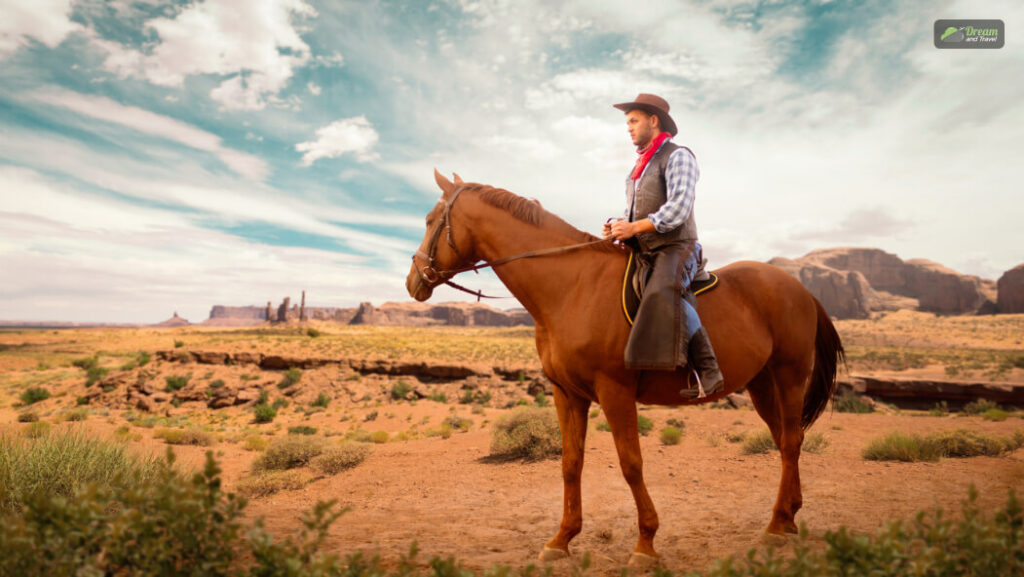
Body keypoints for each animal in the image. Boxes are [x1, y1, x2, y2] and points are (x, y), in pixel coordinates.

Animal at [403, 173, 843, 569]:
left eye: (429, 220)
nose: (412, 281)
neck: (571, 287)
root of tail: (802, 291)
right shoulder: (567, 393)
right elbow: (570, 464)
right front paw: (561, 539)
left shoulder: (614, 391)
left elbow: (631, 464)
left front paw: (645, 544)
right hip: (762, 384)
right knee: (786, 440)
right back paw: (788, 518)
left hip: (789, 375)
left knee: (790, 442)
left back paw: (775, 526)